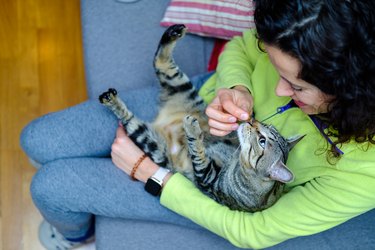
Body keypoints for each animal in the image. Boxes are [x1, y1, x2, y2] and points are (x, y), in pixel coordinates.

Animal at [99, 24, 302, 212]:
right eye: (265, 127)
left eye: (262, 141)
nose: (252, 121)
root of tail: (164, 119)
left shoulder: (207, 179)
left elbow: (198, 154)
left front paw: (192, 131)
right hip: (182, 87)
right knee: (161, 62)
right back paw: (174, 33)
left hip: (153, 144)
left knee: (130, 118)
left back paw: (112, 101)